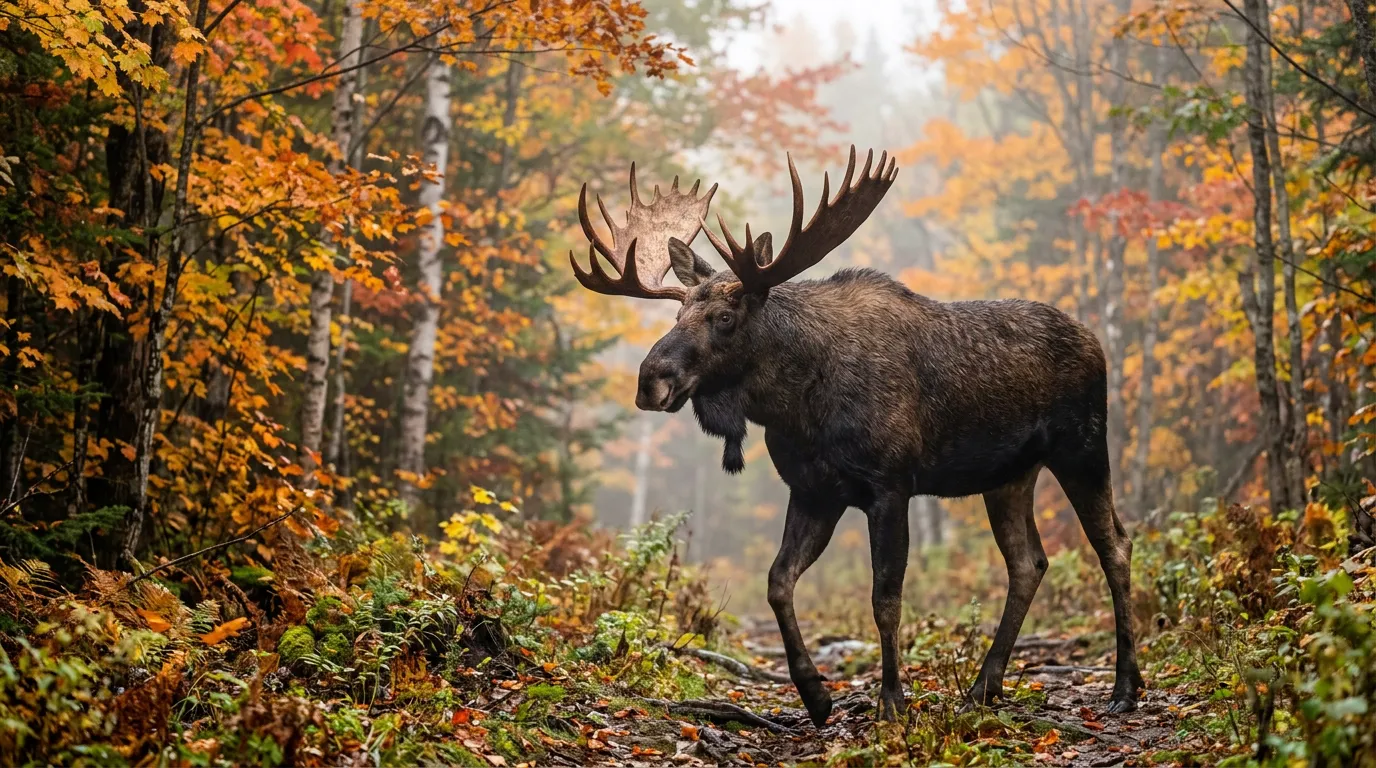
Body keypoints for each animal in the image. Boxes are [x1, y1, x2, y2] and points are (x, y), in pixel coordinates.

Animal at [567, 146, 1143, 727]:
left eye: (725, 317)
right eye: (678, 310)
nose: (649, 380)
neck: (795, 406)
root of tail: (1096, 343)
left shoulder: (890, 485)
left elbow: (884, 598)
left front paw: (891, 702)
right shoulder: (814, 490)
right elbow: (778, 580)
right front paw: (815, 694)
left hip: (1083, 447)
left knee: (1115, 545)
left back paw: (1124, 687)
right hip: (1009, 476)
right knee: (1028, 562)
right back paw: (984, 686)